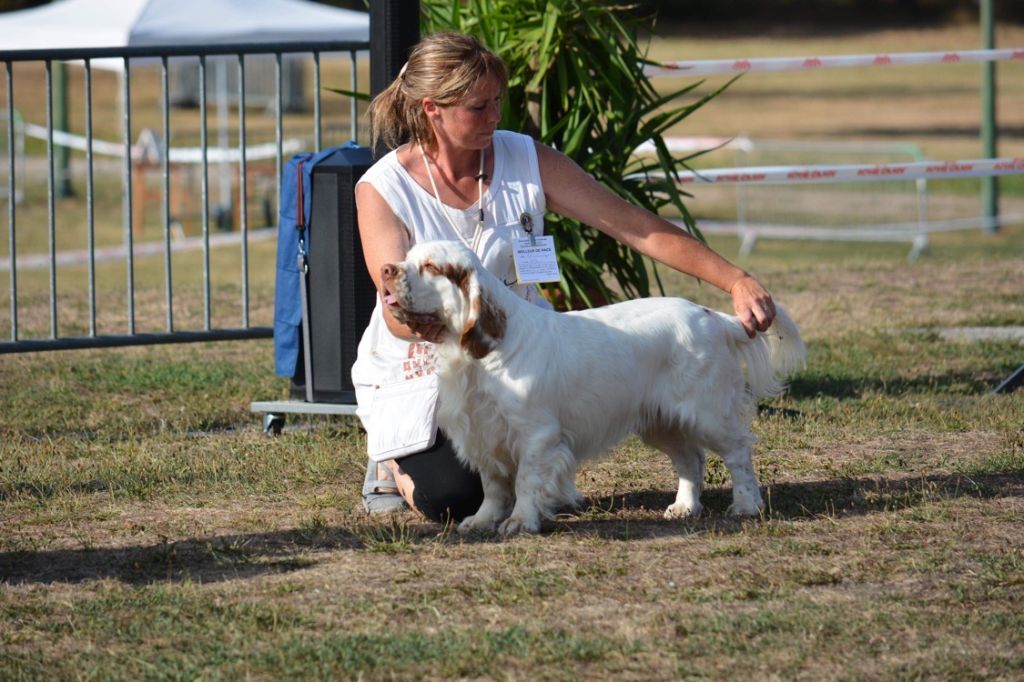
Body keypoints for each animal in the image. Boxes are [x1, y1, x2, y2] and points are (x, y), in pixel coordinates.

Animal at [380, 237, 802, 532]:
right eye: (408, 257)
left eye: (430, 266)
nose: (385, 269)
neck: (479, 356)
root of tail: (712, 316)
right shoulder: (485, 432)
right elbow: (494, 485)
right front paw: (483, 520)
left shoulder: (536, 434)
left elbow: (526, 482)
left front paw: (520, 521)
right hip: (661, 421)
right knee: (691, 460)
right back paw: (684, 506)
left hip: (708, 413)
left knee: (738, 453)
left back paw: (745, 506)